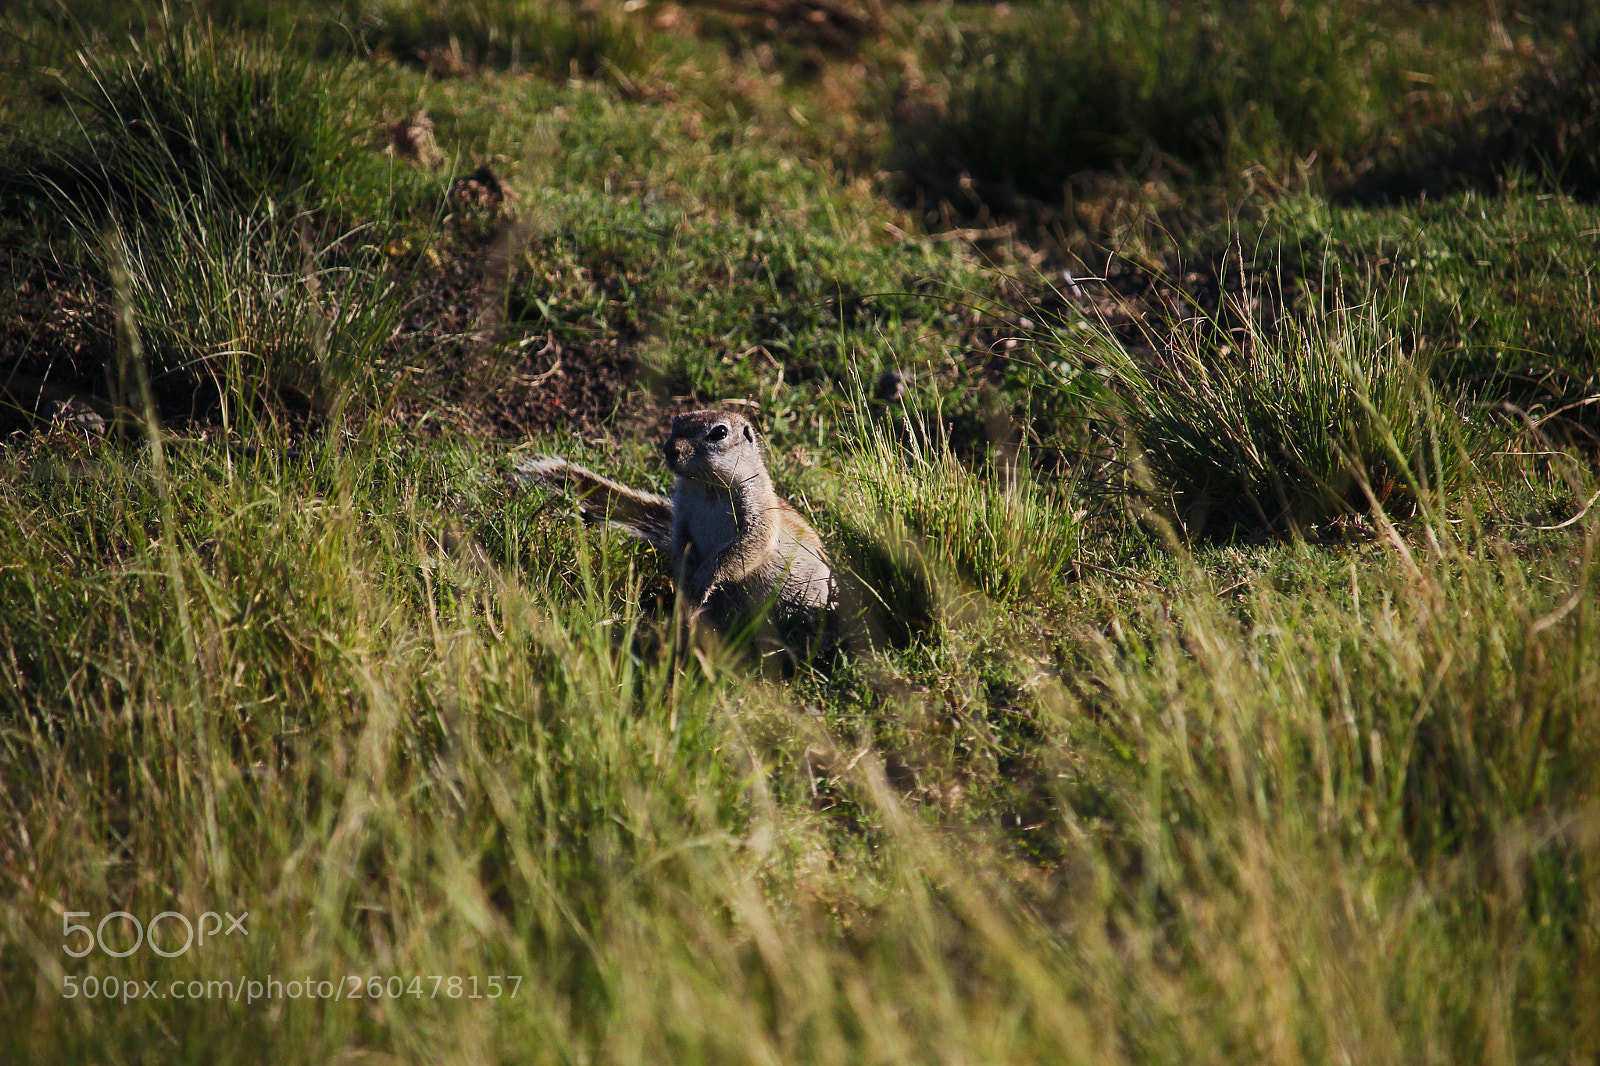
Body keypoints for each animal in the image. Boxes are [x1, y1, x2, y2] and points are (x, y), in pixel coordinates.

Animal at [513, 410, 836, 649]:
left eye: (719, 433)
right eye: (674, 423)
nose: (670, 449)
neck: (707, 487)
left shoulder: (759, 514)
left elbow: (744, 548)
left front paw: (705, 578)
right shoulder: (682, 514)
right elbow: (682, 541)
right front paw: (684, 575)